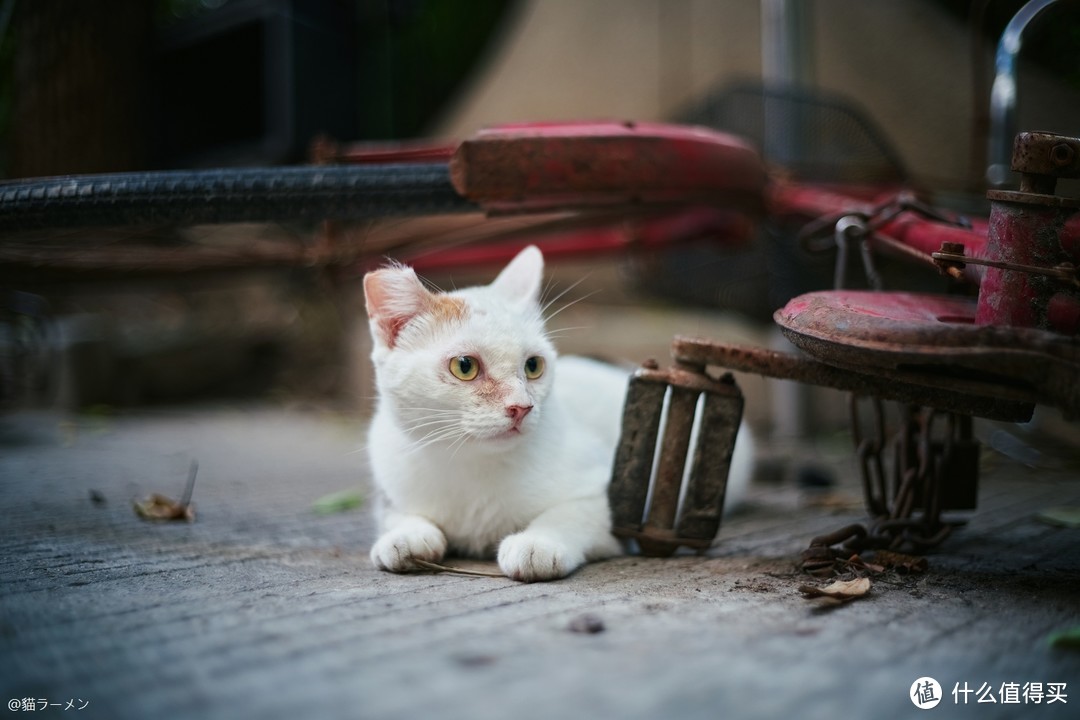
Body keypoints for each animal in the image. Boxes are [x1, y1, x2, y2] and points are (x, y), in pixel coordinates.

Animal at [362, 245, 751, 582]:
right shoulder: (390, 489)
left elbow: (571, 513)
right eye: (465, 366)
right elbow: (397, 515)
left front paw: (538, 542)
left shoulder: (610, 502)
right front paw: (406, 536)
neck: (473, 463)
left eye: (533, 366)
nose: (522, 407)